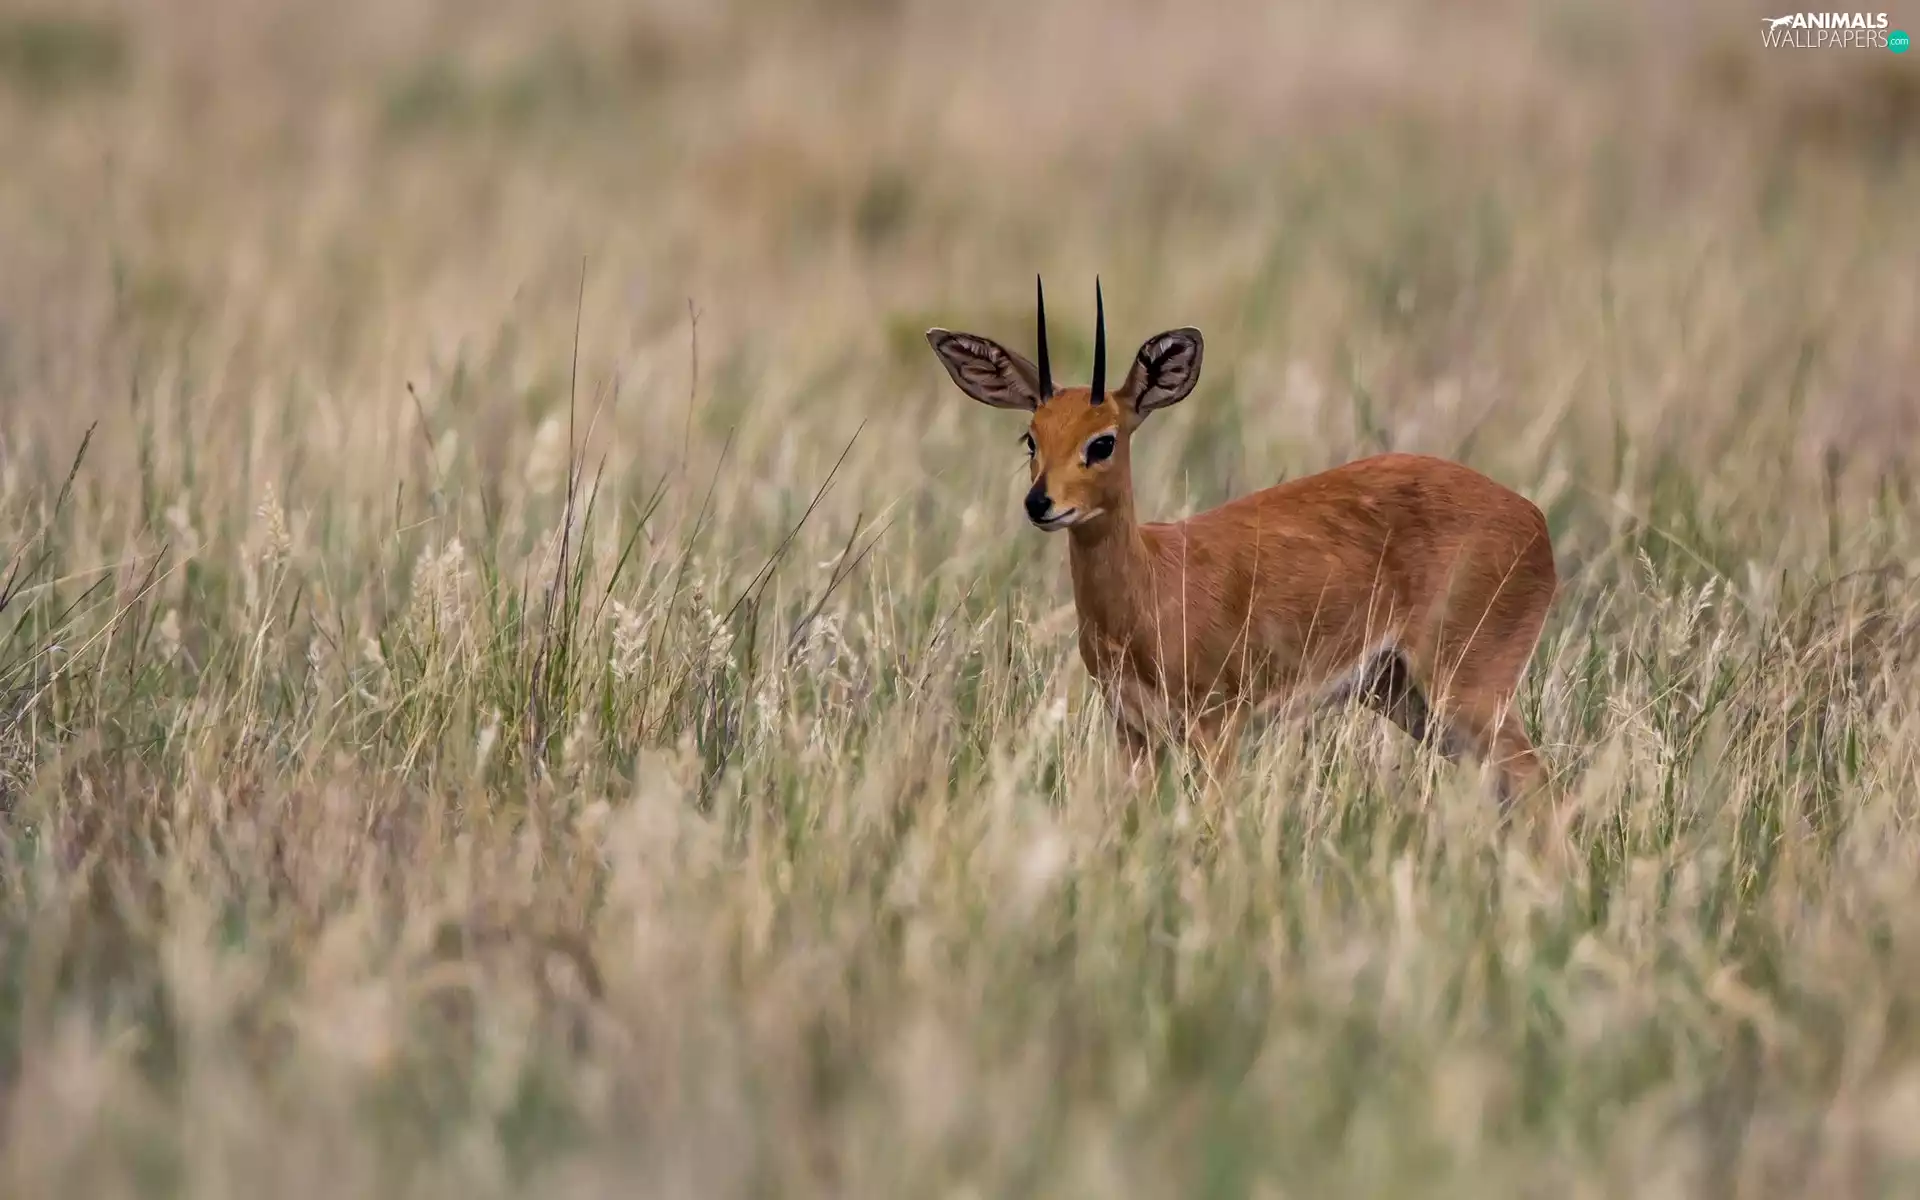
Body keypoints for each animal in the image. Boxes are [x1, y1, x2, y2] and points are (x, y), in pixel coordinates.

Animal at [925, 278, 1559, 807]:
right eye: (1030, 437)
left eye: (1102, 441)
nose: (1041, 503)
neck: (1151, 587)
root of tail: (1536, 521)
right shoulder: (1132, 731)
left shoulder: (1218, 726)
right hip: (1408, 696)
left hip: (1466, 686)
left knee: (1536, 779)